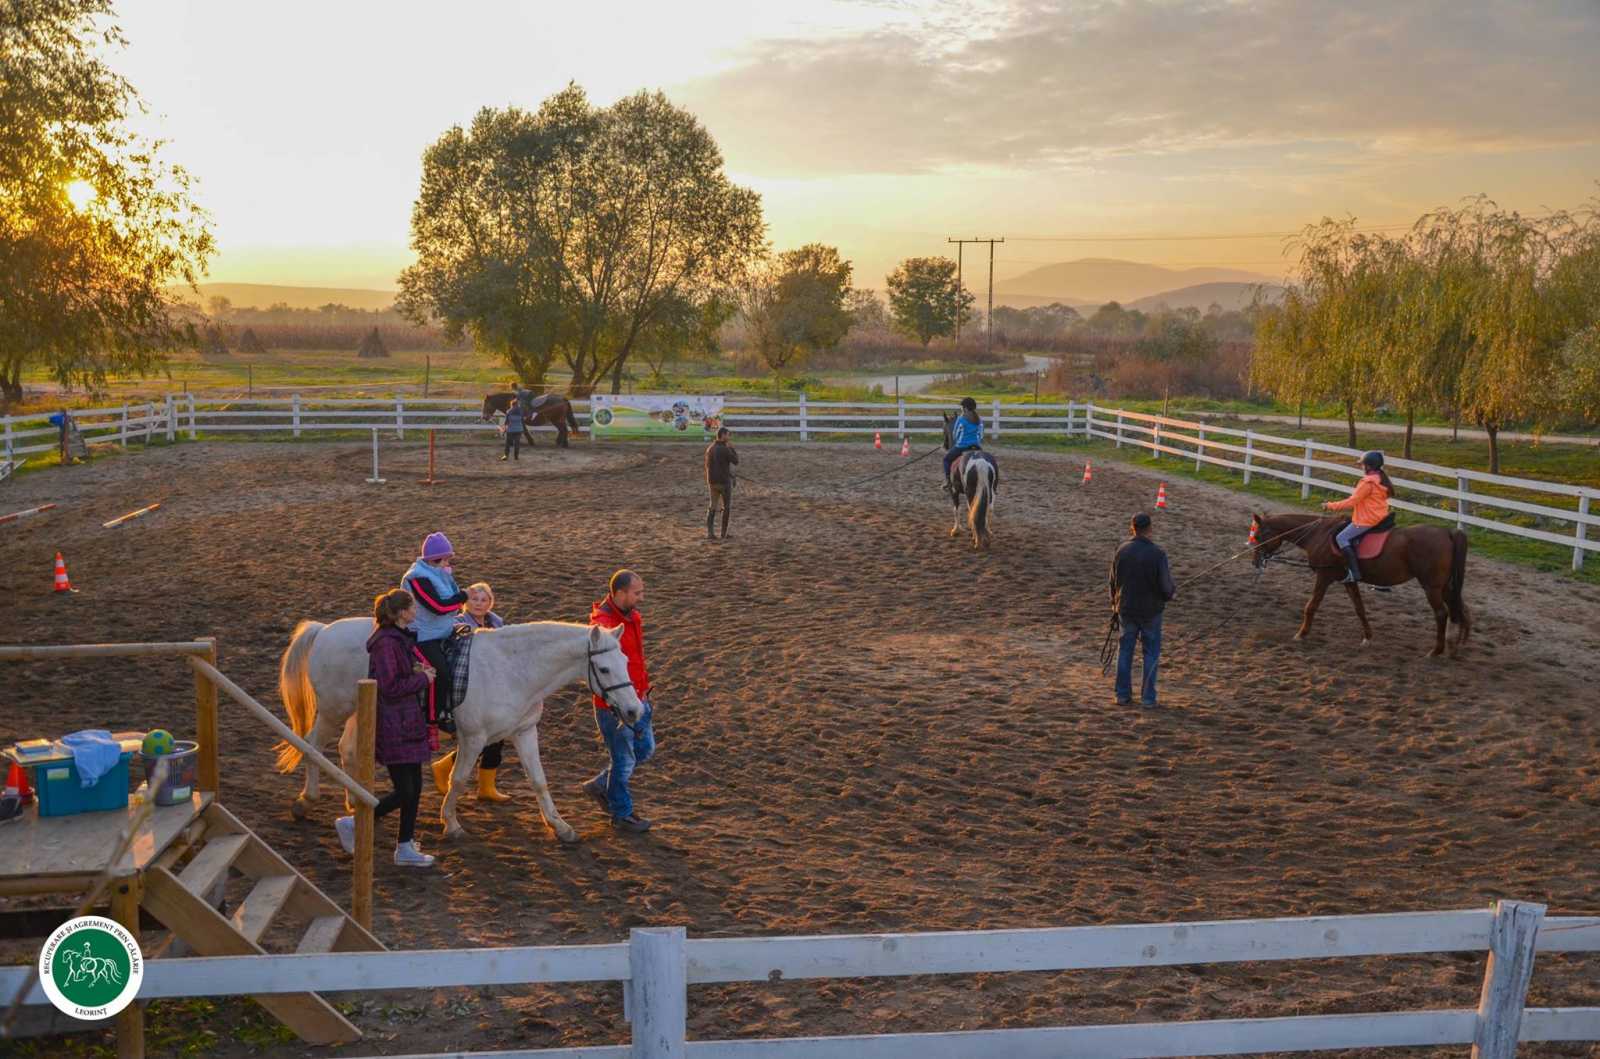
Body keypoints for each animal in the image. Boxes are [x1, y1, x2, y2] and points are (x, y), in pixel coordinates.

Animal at [276, 623, 643, 844]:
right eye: (605, 668)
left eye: (626, 661)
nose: (634, 711)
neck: (514, 669)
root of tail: (324, 630)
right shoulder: (473, 737)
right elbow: (459, 778)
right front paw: (450, 823)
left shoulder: (524, 732)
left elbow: (539, 781)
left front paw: (561, 827)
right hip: (333, 709)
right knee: (313, 744)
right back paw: (307, 799)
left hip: (359, 708)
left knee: (347, 748)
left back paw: (355, 801)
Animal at [1248, 511, 1472, 655]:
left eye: (1258, 535)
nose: (1255, 562)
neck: (1318, 534)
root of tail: (1447, 532)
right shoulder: (1348, 580)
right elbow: (1359, 608)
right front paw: (1367, 638)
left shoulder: (1324, 577)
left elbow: (1311, 606)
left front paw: (1301, 634)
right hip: (1445, 586)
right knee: (1460, 608)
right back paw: (1456, 644)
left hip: (1431, 587)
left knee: (1442, 613)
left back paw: (1436, 651)